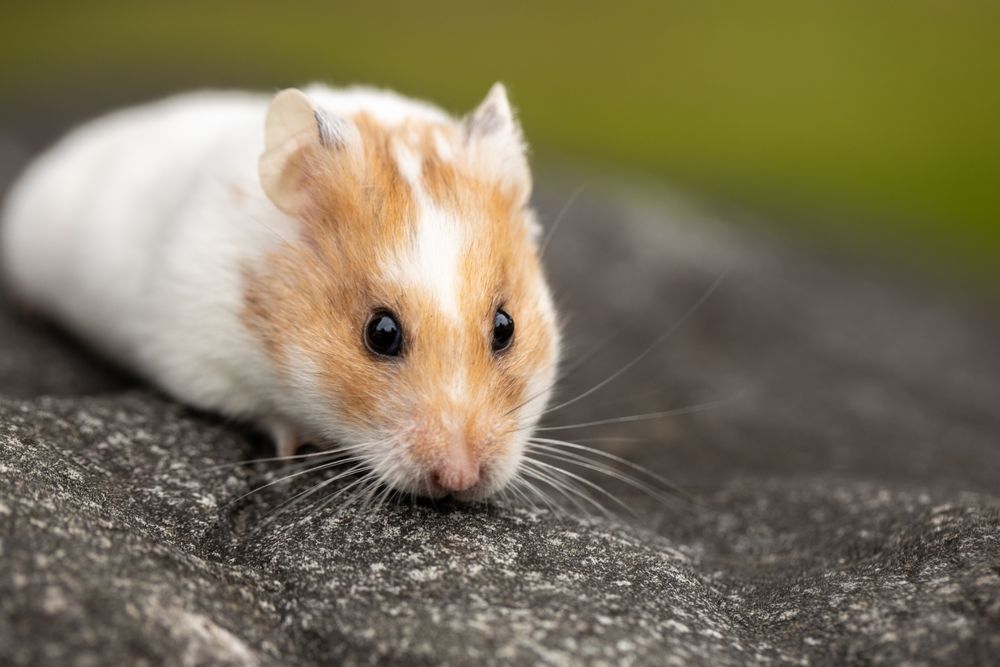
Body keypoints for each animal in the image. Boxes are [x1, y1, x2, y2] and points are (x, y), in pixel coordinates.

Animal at [0, 83, 561, 501]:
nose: (459, 480)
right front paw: (304, 443)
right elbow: (269, 414)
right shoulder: (196, 355)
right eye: (380, 333)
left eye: (505, 327)